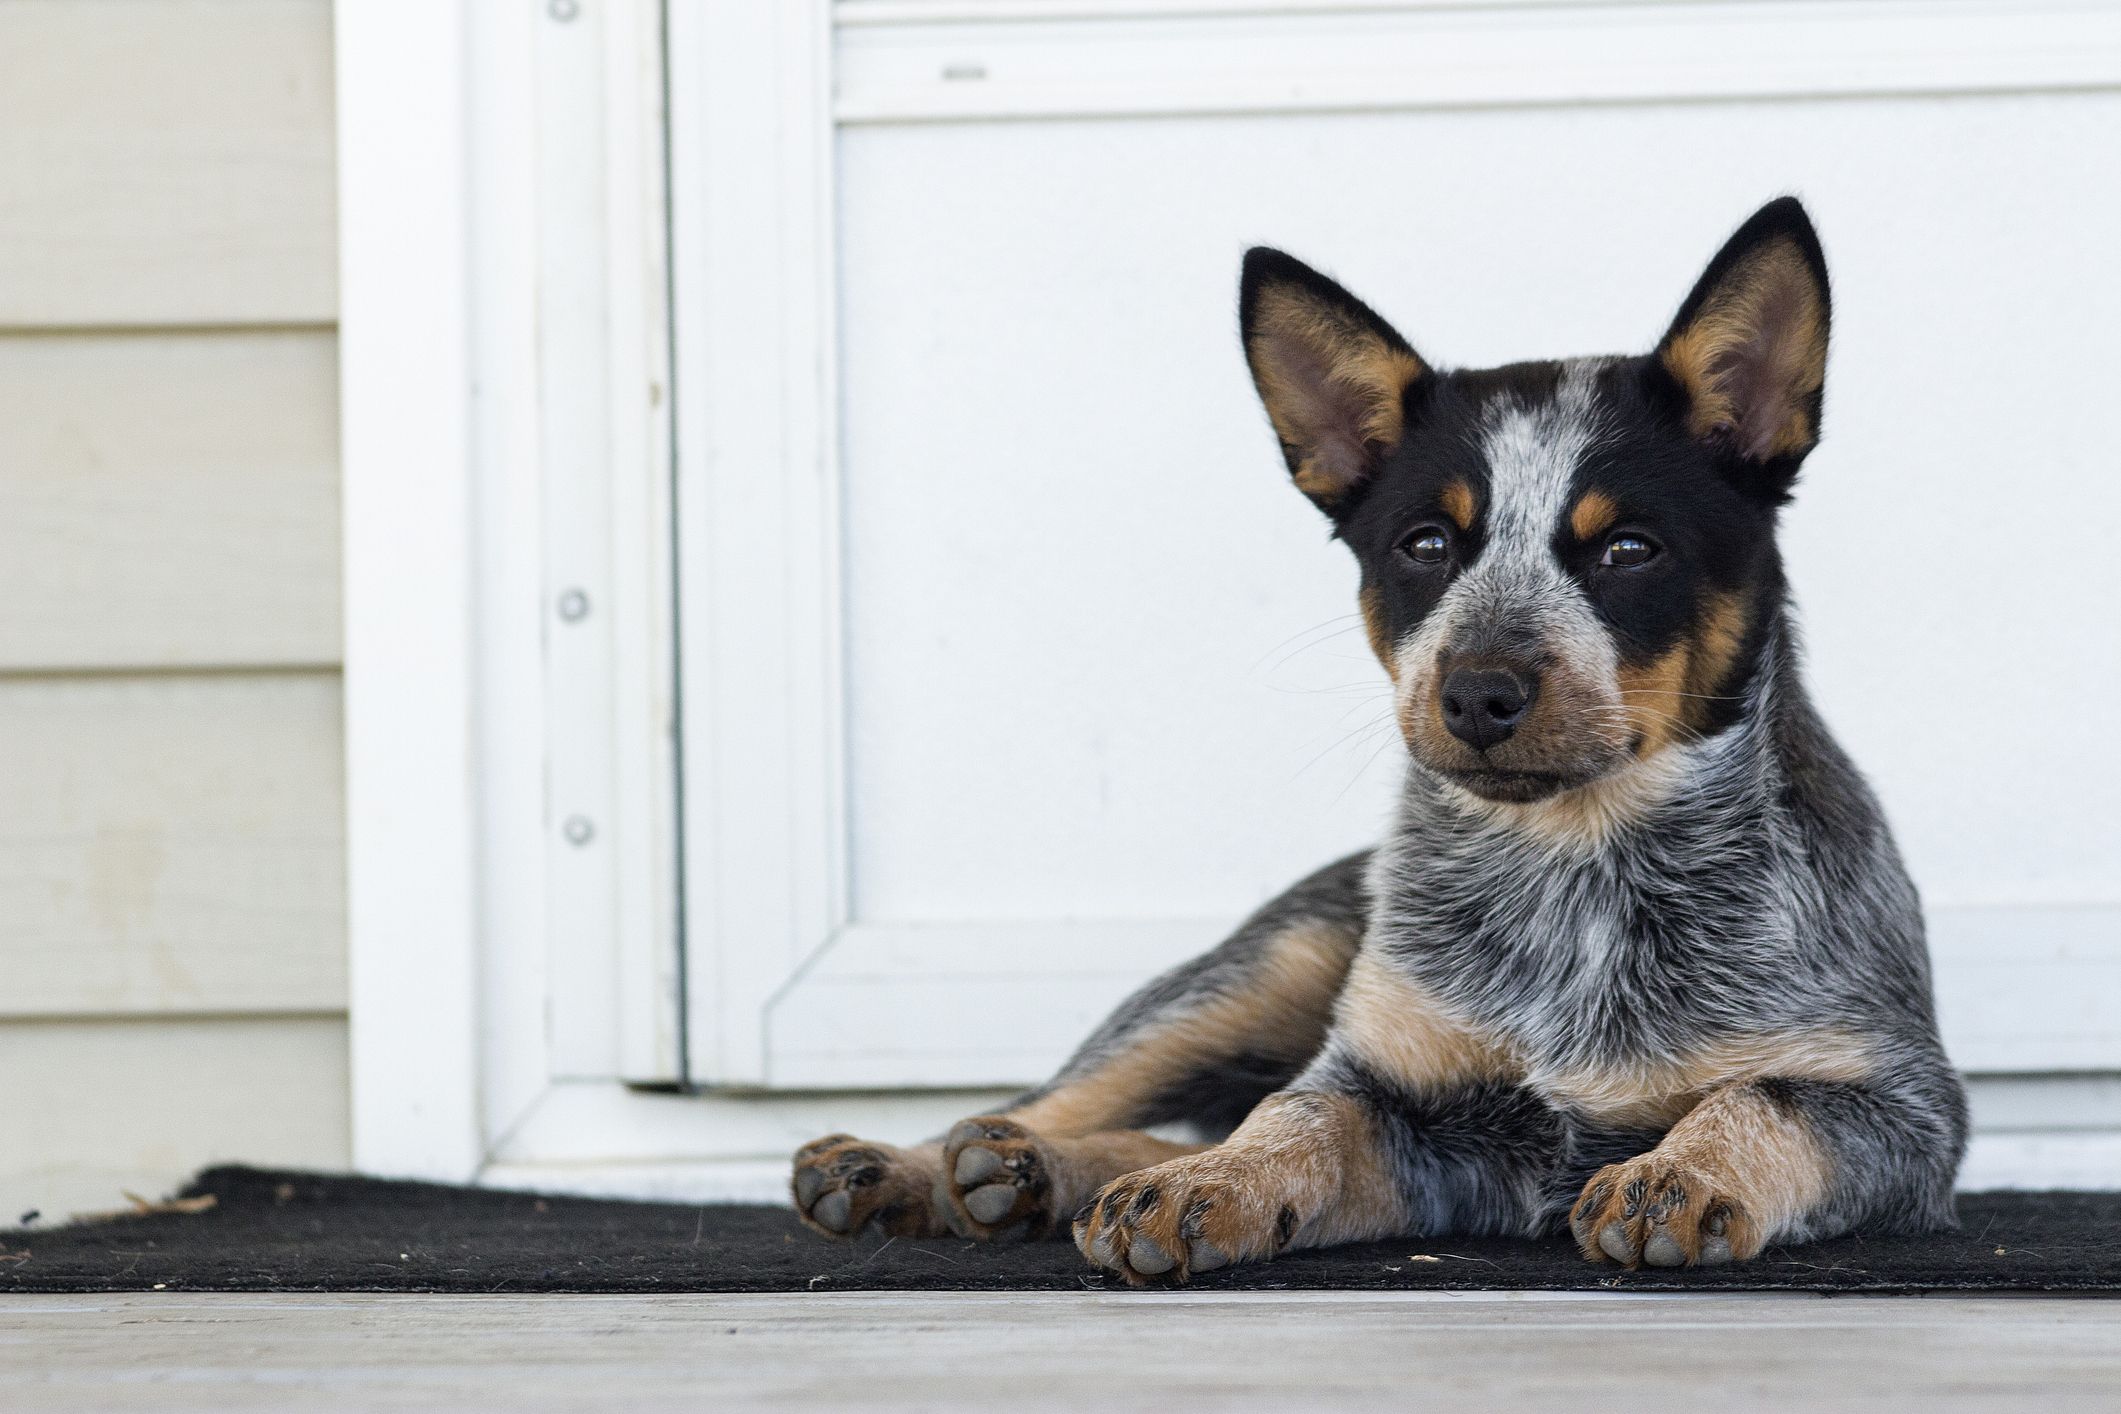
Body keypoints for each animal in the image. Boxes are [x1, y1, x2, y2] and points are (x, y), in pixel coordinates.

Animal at [789, 193, 1959, 1288]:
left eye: (1629, 548)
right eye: (1425, 544)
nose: (1478, 693)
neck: (1575, 871)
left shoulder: (1905, 1108)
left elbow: (1764, 1098)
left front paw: (1682, 1172)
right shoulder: (1395, 1096)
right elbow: (1294, 1116)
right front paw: (1206, 1185)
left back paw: (1023, 1173)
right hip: (1261, 967)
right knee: (1092, 1092)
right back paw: (933, 1164)